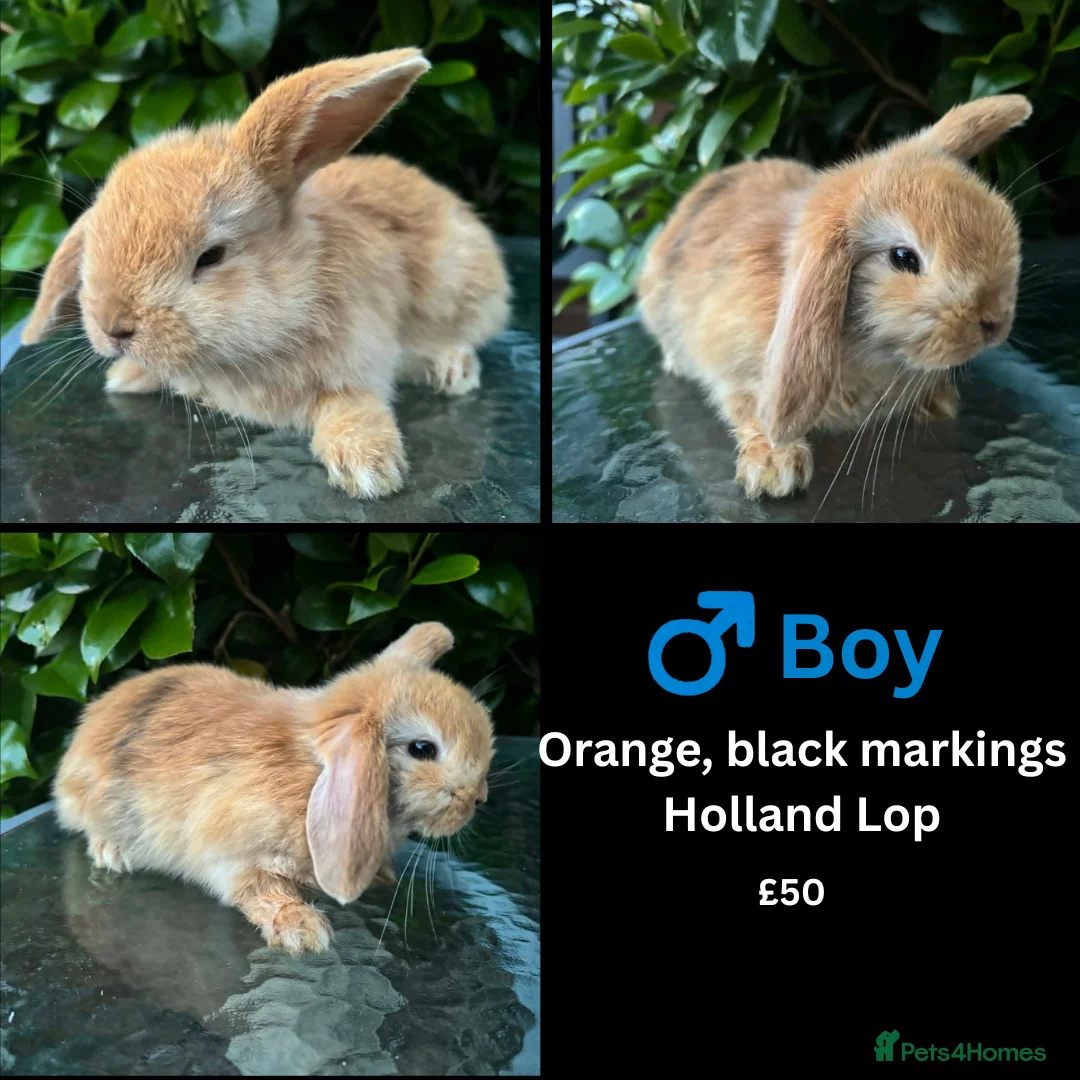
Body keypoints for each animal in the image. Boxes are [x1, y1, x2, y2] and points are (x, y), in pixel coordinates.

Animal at [21, 50, 511, 500]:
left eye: (211, 256)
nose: (113, 329)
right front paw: (126, 377)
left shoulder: (360, 360)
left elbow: (352, 407)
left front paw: (369, 471)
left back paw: (454, 371)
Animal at [52, 622, 494, 956]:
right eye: (423, 749)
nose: (479, 799)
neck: (311, 772)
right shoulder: (236, 853)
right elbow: (263, 892)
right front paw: (305, 932)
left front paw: (381, 877)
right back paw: (113, 852)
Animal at [637, 95, 1032, 499]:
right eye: (903, 257)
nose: (994, 322)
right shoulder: (733, 369)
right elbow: (749, 410)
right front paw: (775, 469)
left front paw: (940, 402)